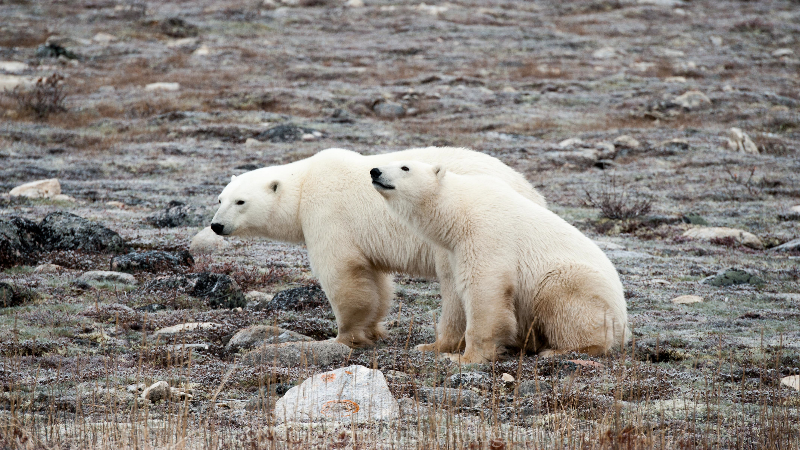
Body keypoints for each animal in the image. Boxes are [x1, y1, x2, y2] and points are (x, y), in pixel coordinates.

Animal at [210, 147, 546, 348]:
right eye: (220, 198)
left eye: (241, 201)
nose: (216, 226)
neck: (304, 184)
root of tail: (531, 193)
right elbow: (376, 280)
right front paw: (373, 330)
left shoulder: (327, 214)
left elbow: (343, 274)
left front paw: (344, 337)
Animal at [370, 160, 628, 363]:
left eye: (405, 167)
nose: (374, 171)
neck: (460, 209)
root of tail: (624, 321)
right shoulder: (453, 251)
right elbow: (454, 296)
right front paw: (431, 346)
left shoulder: (485, 233)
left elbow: (484, 289)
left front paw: (465, 358)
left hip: (577, 283)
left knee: (563, 300)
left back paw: (560, 350)